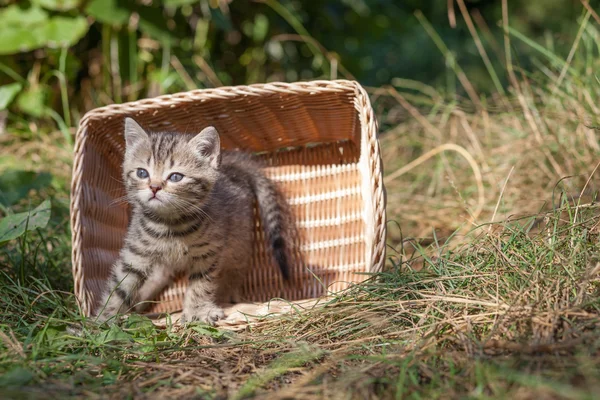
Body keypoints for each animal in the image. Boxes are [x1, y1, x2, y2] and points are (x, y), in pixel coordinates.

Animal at [96, 117, 292, 324]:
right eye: (142, 173)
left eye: (175, 176)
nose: (154, 187)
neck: (169, 225)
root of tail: (232, 168)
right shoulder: (135, 255)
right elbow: (119, 288)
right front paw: (103, 319)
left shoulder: (207, 253)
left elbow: (201, 284)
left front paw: (198, 311)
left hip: (239, 245)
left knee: (234, 273)